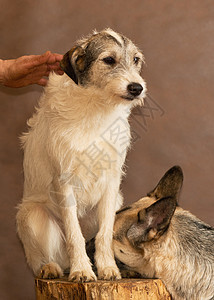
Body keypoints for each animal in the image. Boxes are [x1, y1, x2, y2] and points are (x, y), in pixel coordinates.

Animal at [16, 28, 146, 282]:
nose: (137, 88)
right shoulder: (64, 180)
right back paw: (51, 268)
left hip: (117, 202)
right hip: (31, 215)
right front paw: (82, 270)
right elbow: (73, 235)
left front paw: (108, 268)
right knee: (43, 259)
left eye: (136, 59)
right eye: (109, 59)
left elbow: (105, 235)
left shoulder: (112, 181)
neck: (97, 106)